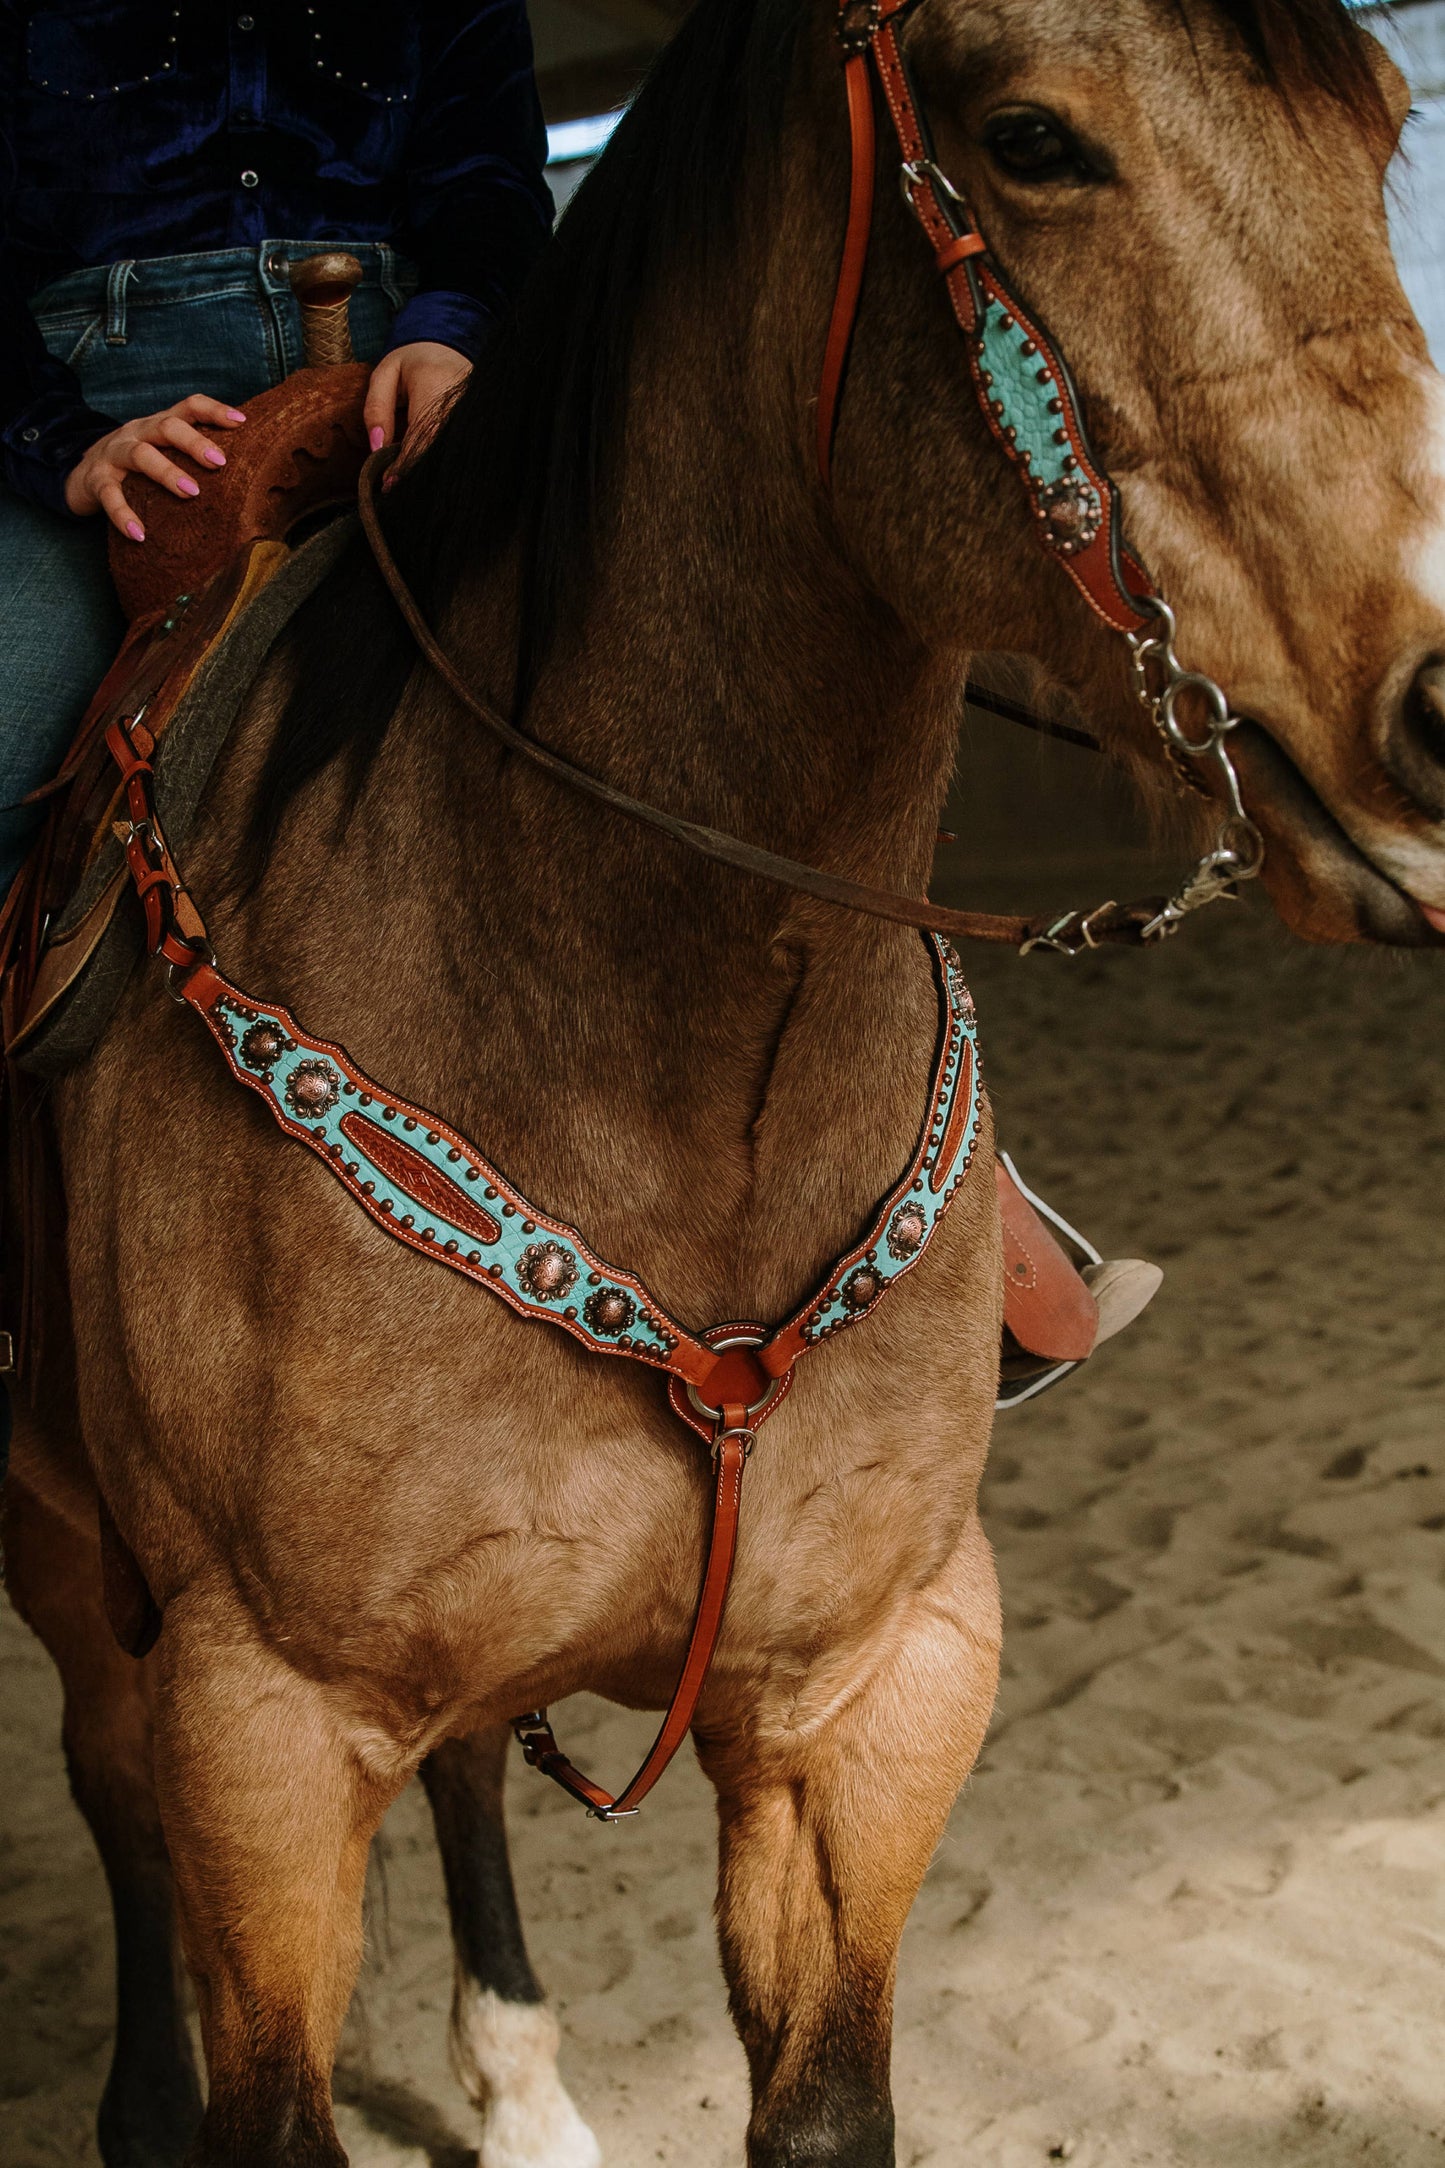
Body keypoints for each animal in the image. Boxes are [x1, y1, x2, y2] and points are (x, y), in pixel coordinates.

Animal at [2, 0, 1445, 2159]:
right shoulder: (261, 1724)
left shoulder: (870, 1692)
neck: (659, 1068)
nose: (1441, 710)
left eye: (1380, 117)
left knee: (468, 1757)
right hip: (79, 1569)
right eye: (1029, 137)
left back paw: (519, 2071)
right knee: (112, 1790)